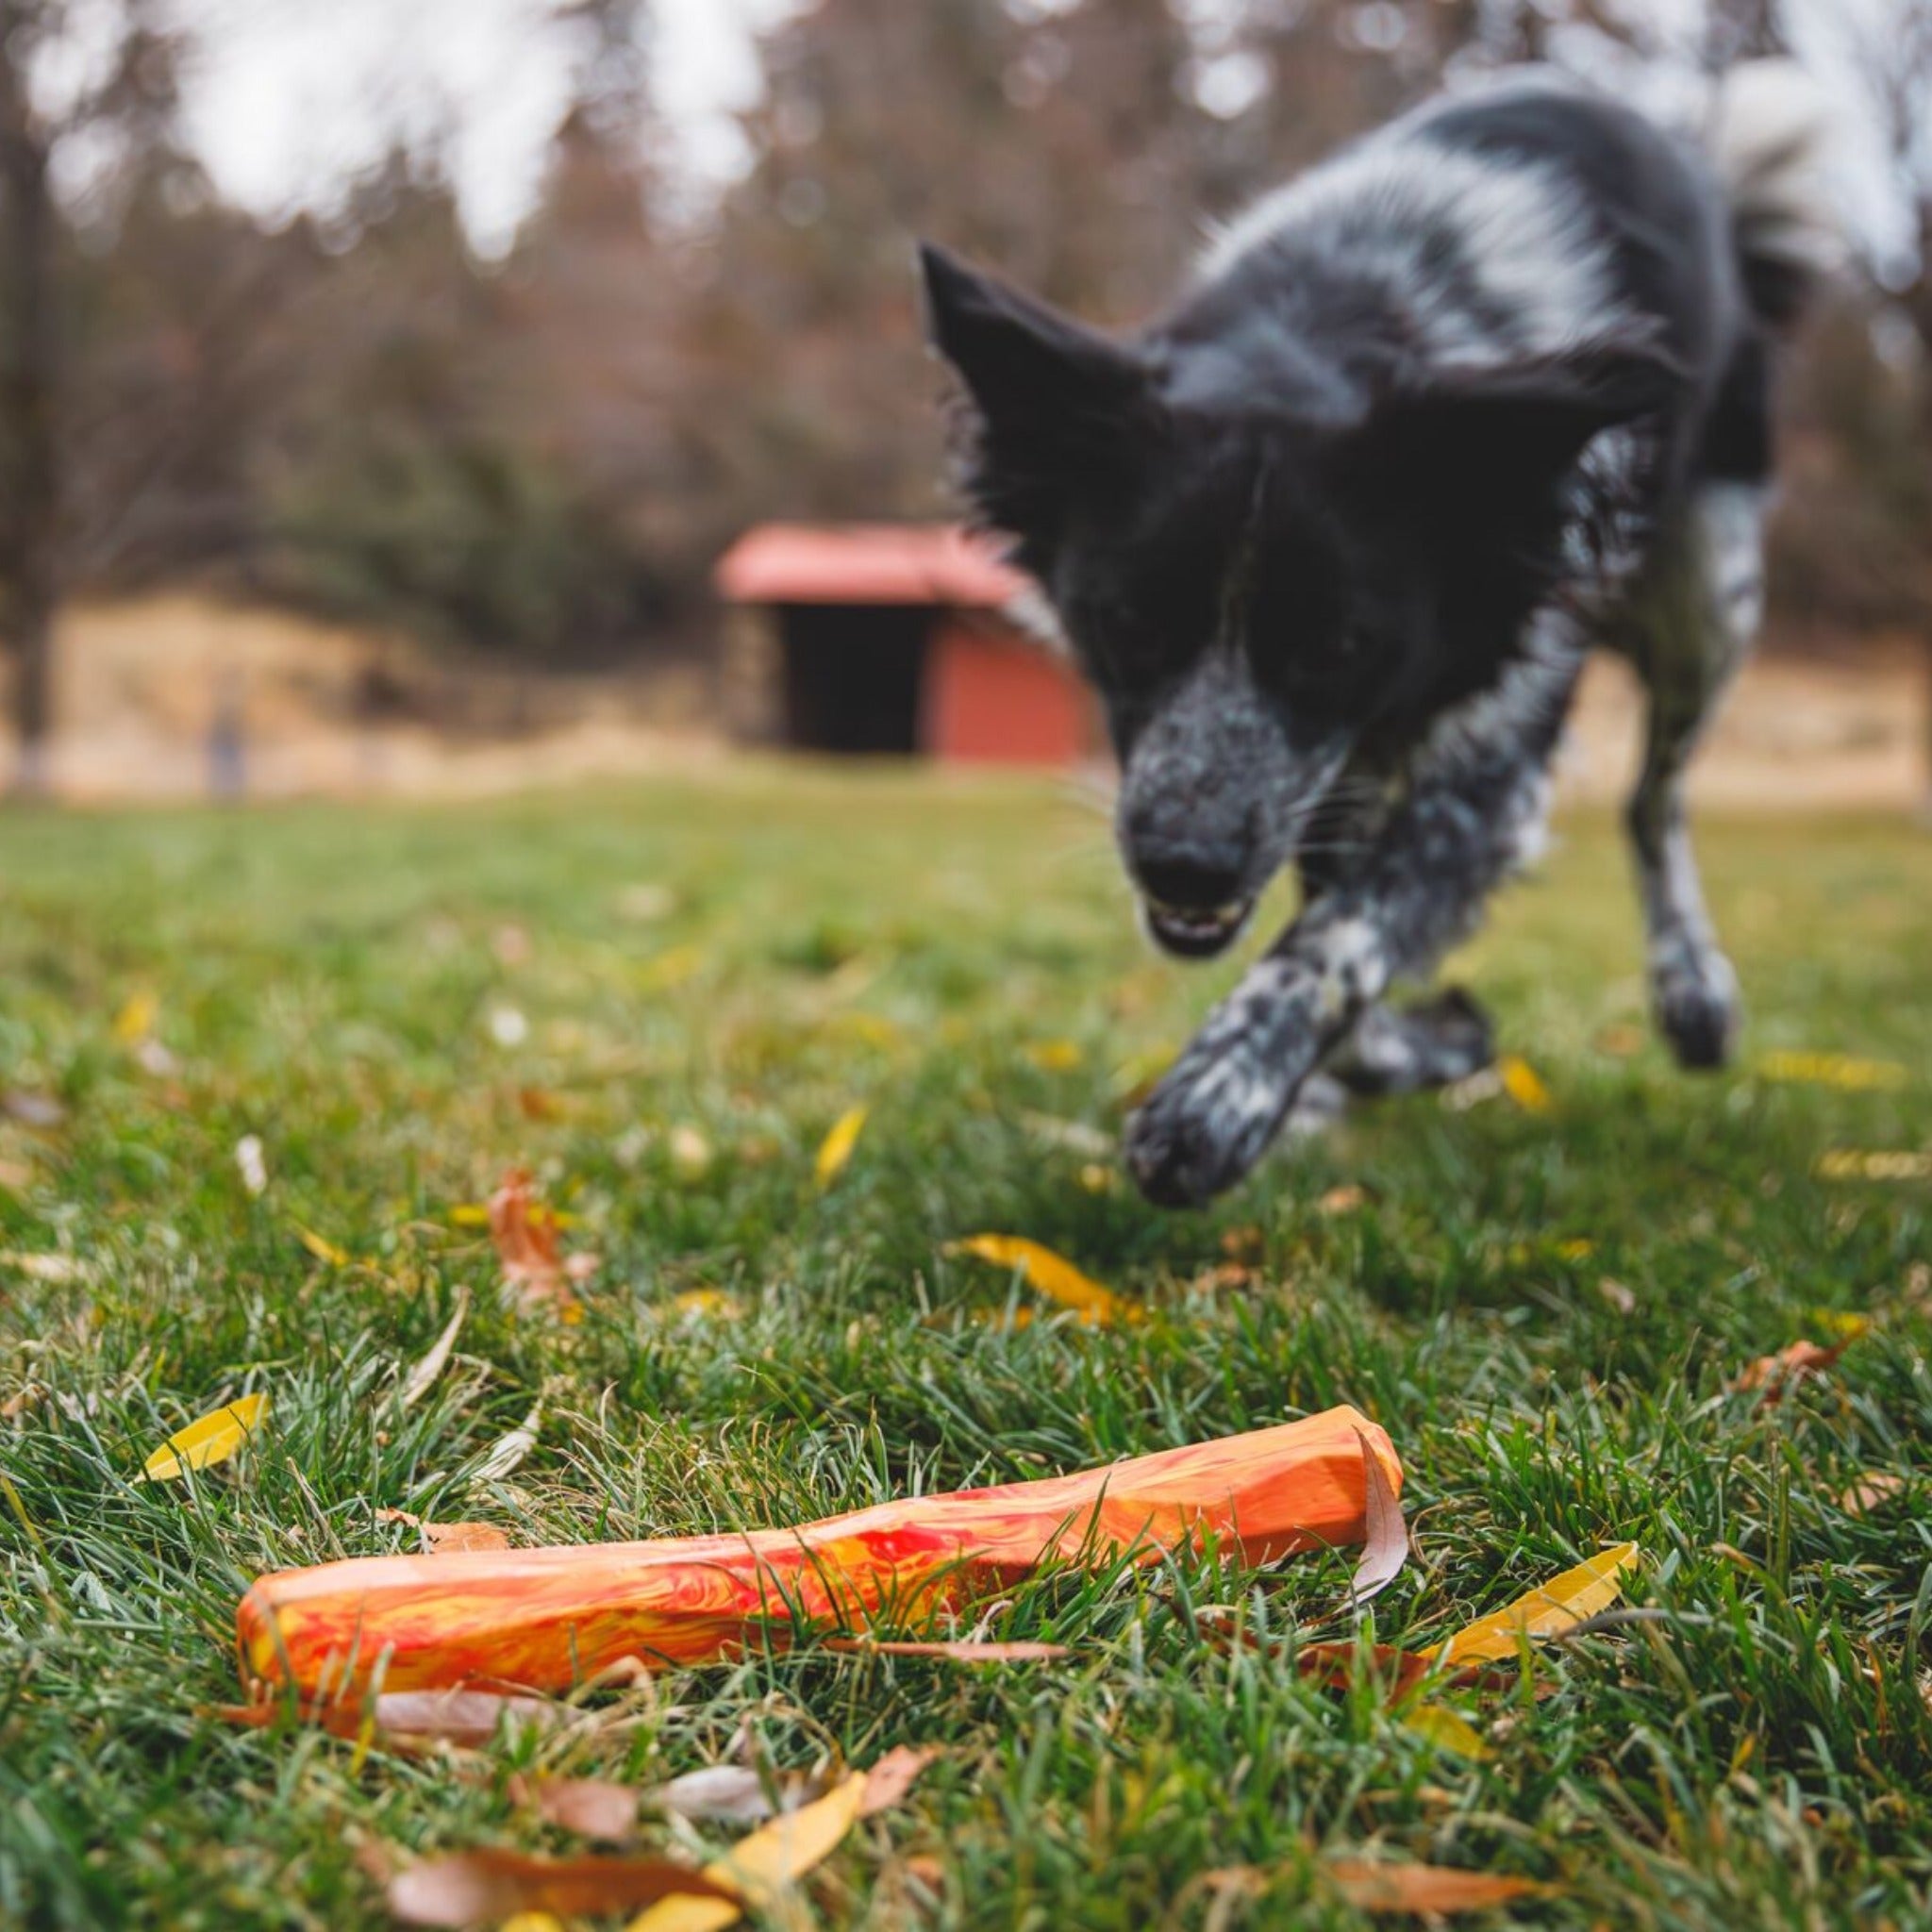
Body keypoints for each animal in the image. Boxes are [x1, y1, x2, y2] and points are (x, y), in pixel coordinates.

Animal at [919, 60, 1839, 1197]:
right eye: (1126, 621)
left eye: (1336, 648)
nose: (1184, 866)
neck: (1343, 301)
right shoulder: (1318, 783)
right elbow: (1348, 943)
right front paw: (1413, 1048)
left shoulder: (1488, 759)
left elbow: (1338, 941)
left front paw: (1219, 1099)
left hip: (1708, 590)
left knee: (1653, 797)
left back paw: (1692, 986)